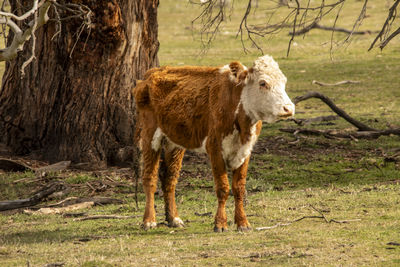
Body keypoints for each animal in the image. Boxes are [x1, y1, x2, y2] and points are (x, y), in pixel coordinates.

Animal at [134, 55, 294, 232]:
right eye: (263, 83)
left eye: (284, 81)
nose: (288, 108)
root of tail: (151, 73)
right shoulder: (215, 148)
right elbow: (223, 188)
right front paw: (221, 223)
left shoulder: (245, 150)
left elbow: (239, 188)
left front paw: (242, 223)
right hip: (149, 136)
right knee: (150, 177)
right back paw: (149, 220)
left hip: (174, 142)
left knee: (170, 178)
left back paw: (174, 218)